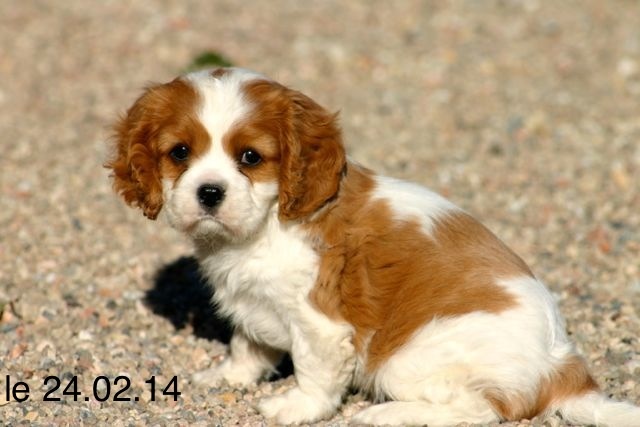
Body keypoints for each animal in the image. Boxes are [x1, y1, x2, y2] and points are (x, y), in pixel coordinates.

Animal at [109, 67, 640, 424]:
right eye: (180, 153)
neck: (266, 224)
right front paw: (229, 377)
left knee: (481, 410)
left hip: (406, 359)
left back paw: (385, 415)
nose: (210, 192)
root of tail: (563, 366)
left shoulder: (320, 322)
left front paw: (297, 407)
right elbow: (247, 344)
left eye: (251, 158)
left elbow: (314, 372)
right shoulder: (254, 300)